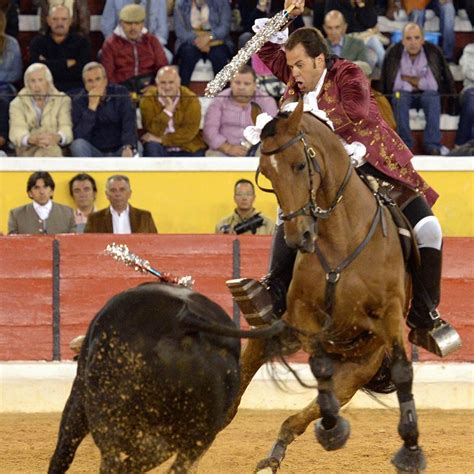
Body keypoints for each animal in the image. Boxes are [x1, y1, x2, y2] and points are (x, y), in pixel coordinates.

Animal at [49, 284, 280, 472]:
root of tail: (184, 320)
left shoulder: (78, 394)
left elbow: (63, 451)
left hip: (106, 411)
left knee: (108, 459)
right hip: (197, 435)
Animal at [226, 98, 426, 472]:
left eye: (300, 164)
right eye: (267, 174)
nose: (299, 237)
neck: (341, 237)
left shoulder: (388, 317)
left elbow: (401, 370)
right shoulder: (301, 316)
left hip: (358, 369)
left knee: (309, 412)